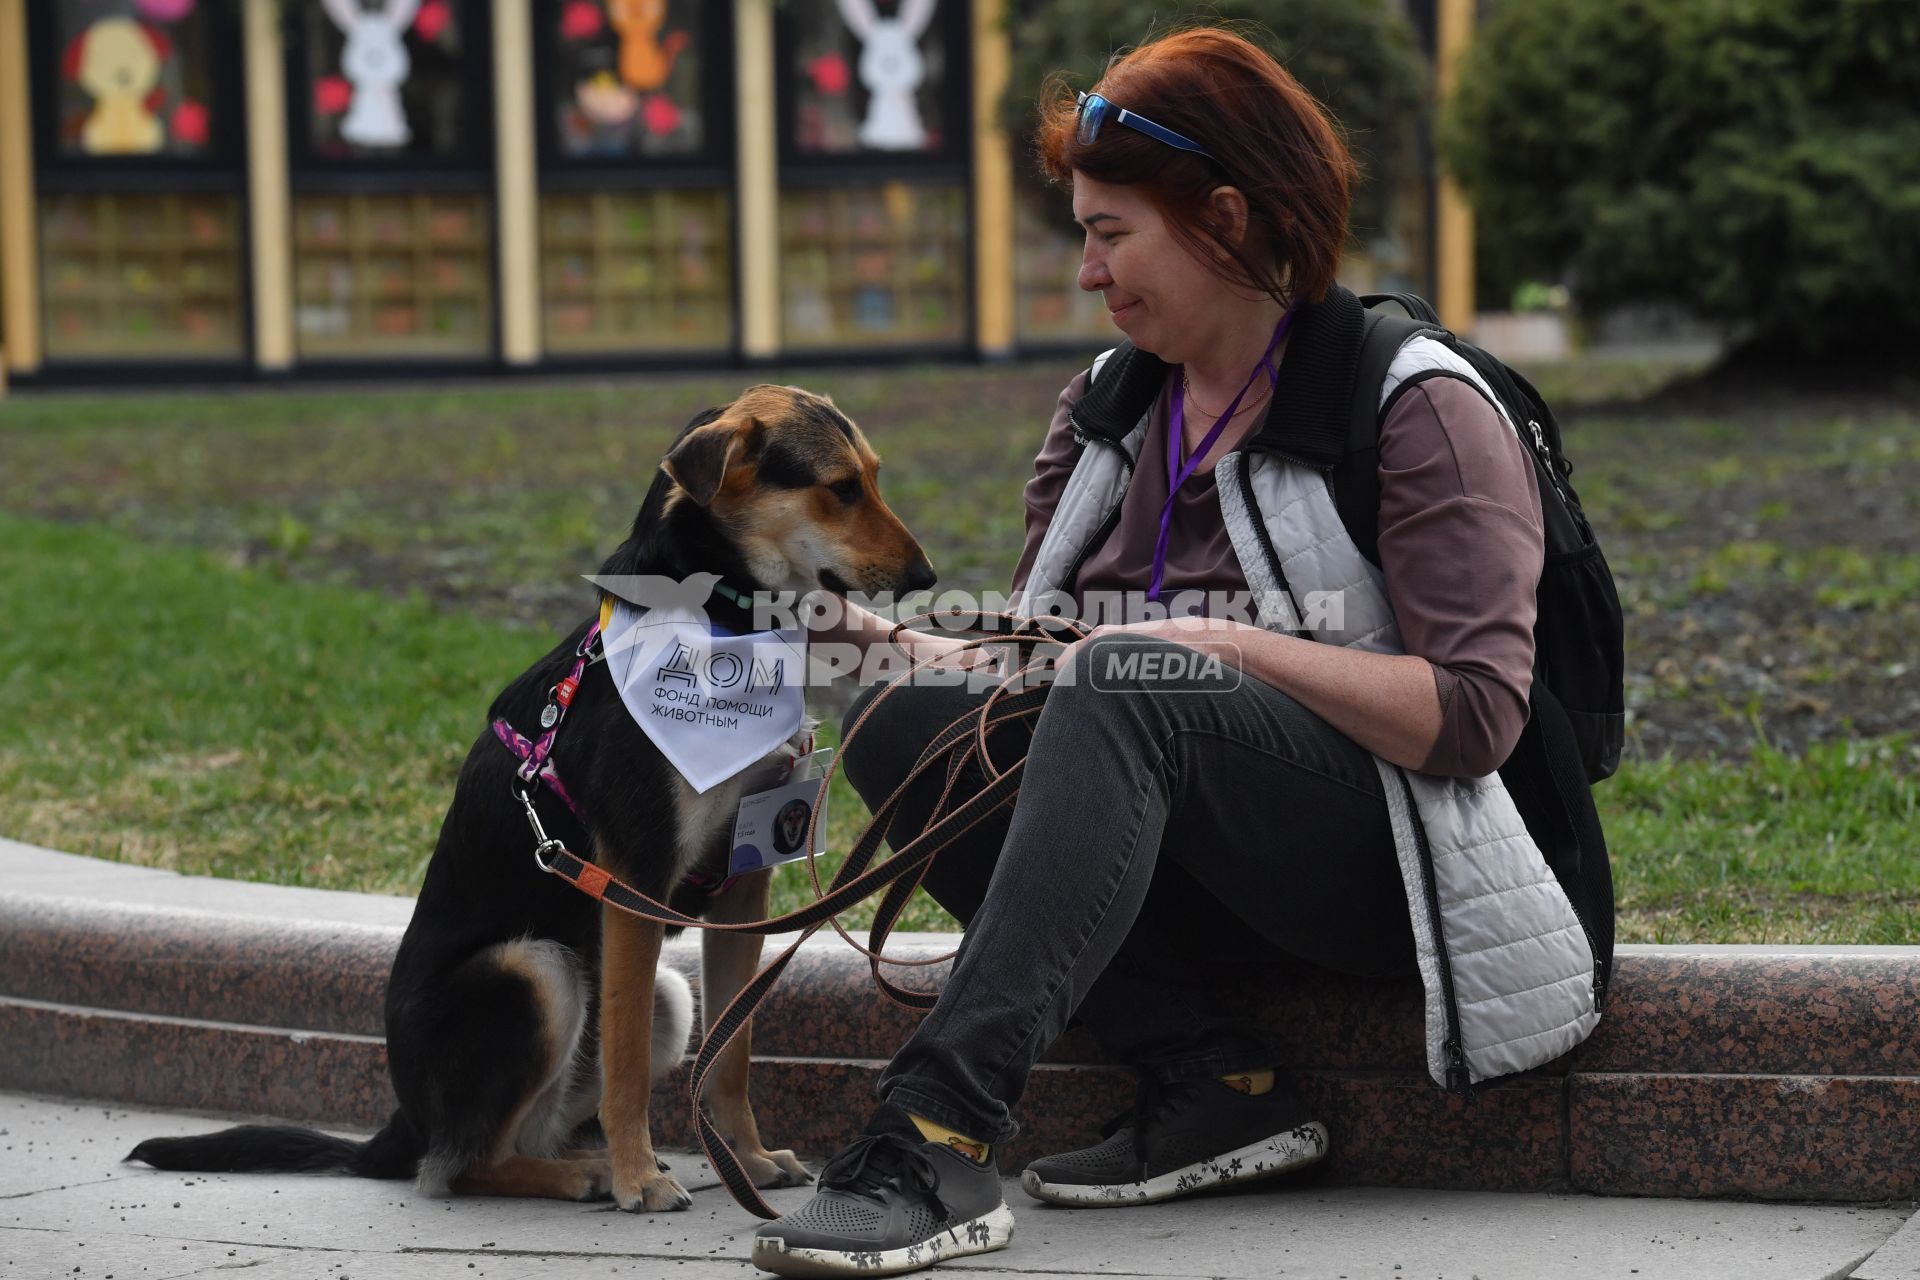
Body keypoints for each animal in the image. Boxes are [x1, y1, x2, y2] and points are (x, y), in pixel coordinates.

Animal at [129, 383, 936, 1212]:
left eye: (875, 477)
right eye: (841, 488)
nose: (926, 576)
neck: (722, 620)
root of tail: (405, 1120)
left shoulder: (745, 877)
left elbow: (732, 1051)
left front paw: (746, 1158)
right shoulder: (635, 877)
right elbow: (626, 1065)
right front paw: (640, 1179)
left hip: (661, 998)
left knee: (522, 1137)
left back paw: (584, 1162)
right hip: (536, 970)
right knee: (461, 1166)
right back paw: (591, 1174)